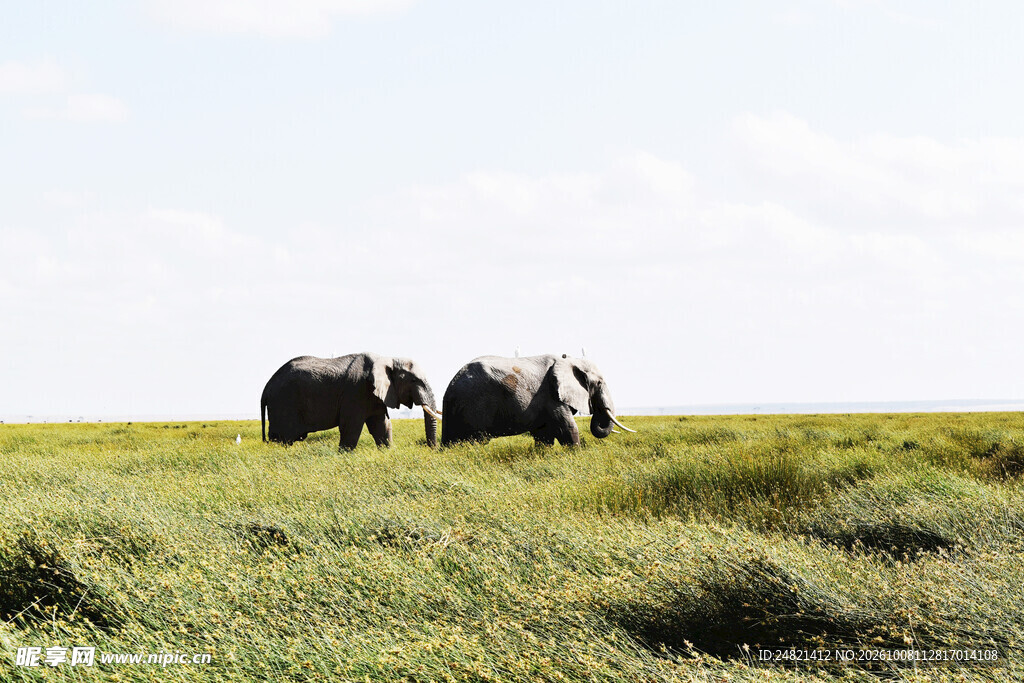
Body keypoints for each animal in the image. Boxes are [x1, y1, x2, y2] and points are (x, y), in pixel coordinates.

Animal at [261, 352, 441, 450]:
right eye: (414, 380)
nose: (431, 448)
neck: (387, 358)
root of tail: (266, 387)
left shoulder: (375, 395)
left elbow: (382, 426)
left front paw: (388, 451)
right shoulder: (356, 391)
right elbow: (351, 426)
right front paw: (343, 454)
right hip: (283, 403)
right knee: (283, 438)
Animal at [441, 354, 635, 447]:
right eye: (600, 383)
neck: (569, 361)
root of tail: (451, 386)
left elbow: (544, 434)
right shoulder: (551, 394)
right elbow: (567, 428)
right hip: (475, 404)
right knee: (475, 440)